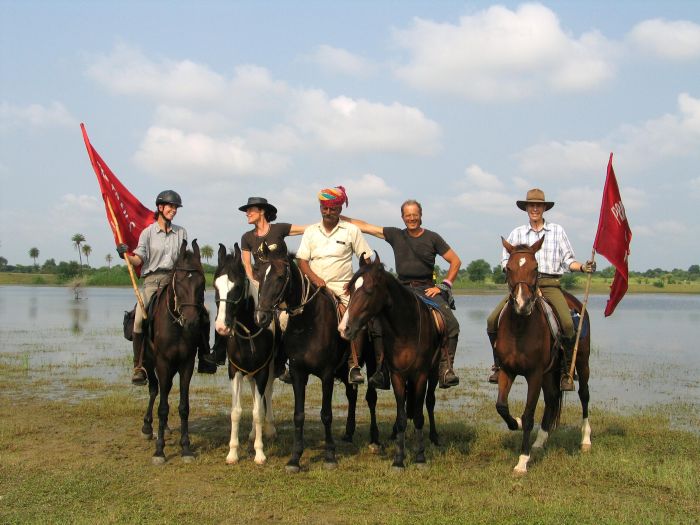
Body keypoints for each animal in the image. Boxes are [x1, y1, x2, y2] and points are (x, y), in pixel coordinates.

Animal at [141, 237, 206, 462]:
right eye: (179, 282)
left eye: (202, 283)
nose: (192, 322)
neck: (176, 326)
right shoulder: (162, 363)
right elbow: (162, 407)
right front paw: (159, 450)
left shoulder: (186, 363)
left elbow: (183, 407)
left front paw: (185, 448)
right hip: (149, 363)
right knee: (155, 390)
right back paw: (147, 426)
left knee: (164, 390)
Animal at [212, 242, 278, 462]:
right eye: (215, 286)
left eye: (238, 287)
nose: (222, 327)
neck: (249, 331)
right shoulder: (235, 371)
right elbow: (236, 411)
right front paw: (233, 452)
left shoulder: (262, 371)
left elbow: (258, 412)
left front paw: (260, 453)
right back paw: (252, 433)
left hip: (270, 369)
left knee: (267, 394)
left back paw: (270, 428)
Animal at [254, 248, 380, 472]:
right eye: (259, 275)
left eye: (280, 277)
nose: (261, 317)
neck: (308, 323)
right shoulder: (298, 373)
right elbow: (299, 415)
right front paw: (295, 458)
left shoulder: (327, 374)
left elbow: (326, 414)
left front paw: (330, 455)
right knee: (352, 395)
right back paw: (348, 432)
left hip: (372, 364)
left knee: (371, 398)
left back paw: (375, 440)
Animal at [346, 255, 440, 470]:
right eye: (351, 289)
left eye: (369, 290)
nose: (344, 327)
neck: (406, 328)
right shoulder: (397, 375)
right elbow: (402, 415)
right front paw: (399, 458)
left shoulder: (421, 375)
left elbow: (419, 415)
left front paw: (420, 456)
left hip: (434, 372)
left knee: (430, 401)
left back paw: (434, 436)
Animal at [498, 237, 592, 474]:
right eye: (508, 268)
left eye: (535, 267)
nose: (522, 304)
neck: (520, 328)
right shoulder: (507, 370)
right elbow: (502, 406)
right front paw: (515, 423)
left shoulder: (534, 374)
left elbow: (529, 414)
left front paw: (522, 461)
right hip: (550, 373)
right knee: (551, 400)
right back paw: (539, 442)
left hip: (582, 362)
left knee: (584, 395)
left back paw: (586, 440)